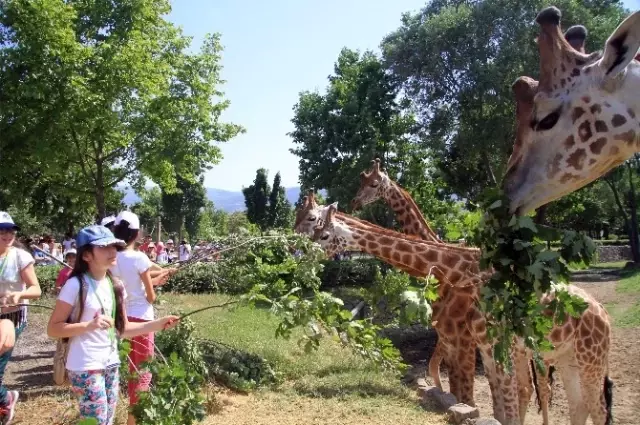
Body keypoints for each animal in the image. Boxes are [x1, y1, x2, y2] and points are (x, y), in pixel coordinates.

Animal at [316, 204, 616, 422]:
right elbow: (486, 403)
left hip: (588, 359)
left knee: (595, 407)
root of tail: (604, 314)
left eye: (323, 233)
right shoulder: (479, 347)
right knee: (576, 404)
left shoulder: (488, 346)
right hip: (566, 358)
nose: (308, 254)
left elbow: (497, 402)